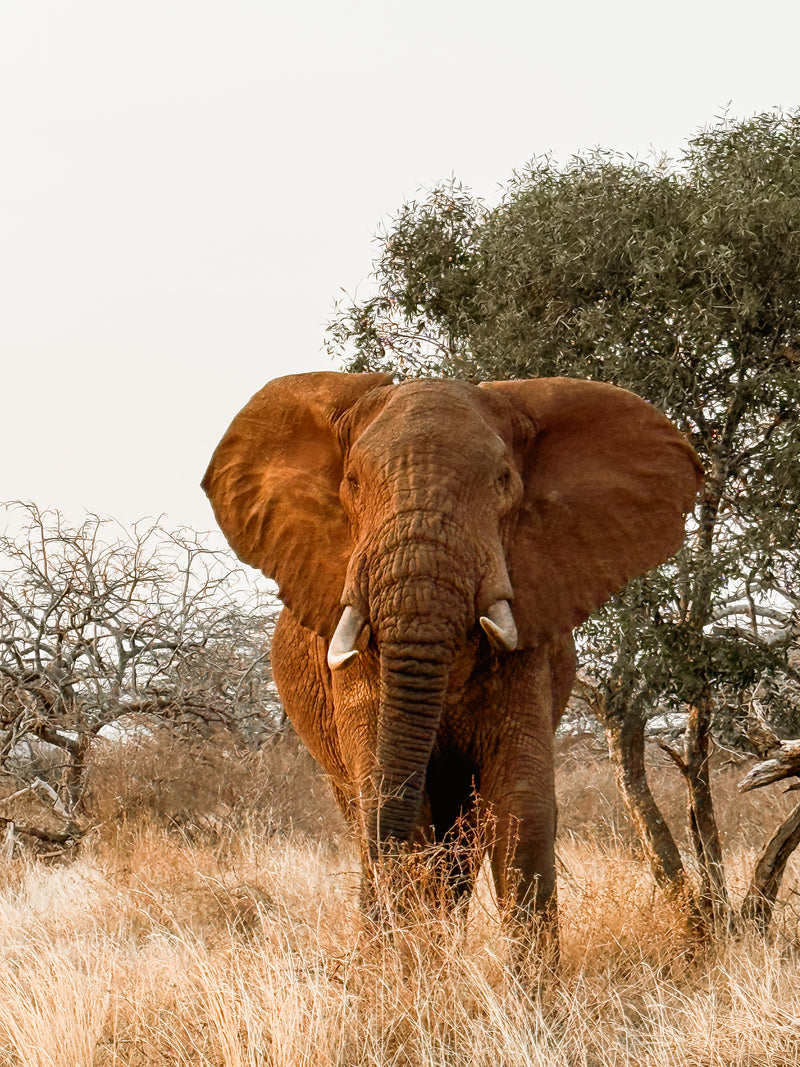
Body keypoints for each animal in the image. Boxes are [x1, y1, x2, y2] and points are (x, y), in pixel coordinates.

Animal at [202, 371, 701, 952]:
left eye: (504, 481)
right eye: (352, 482)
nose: (366, 948)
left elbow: (521, 805)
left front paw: (527, 983)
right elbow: (398, 806)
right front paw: (406, 968)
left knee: (460, 842)